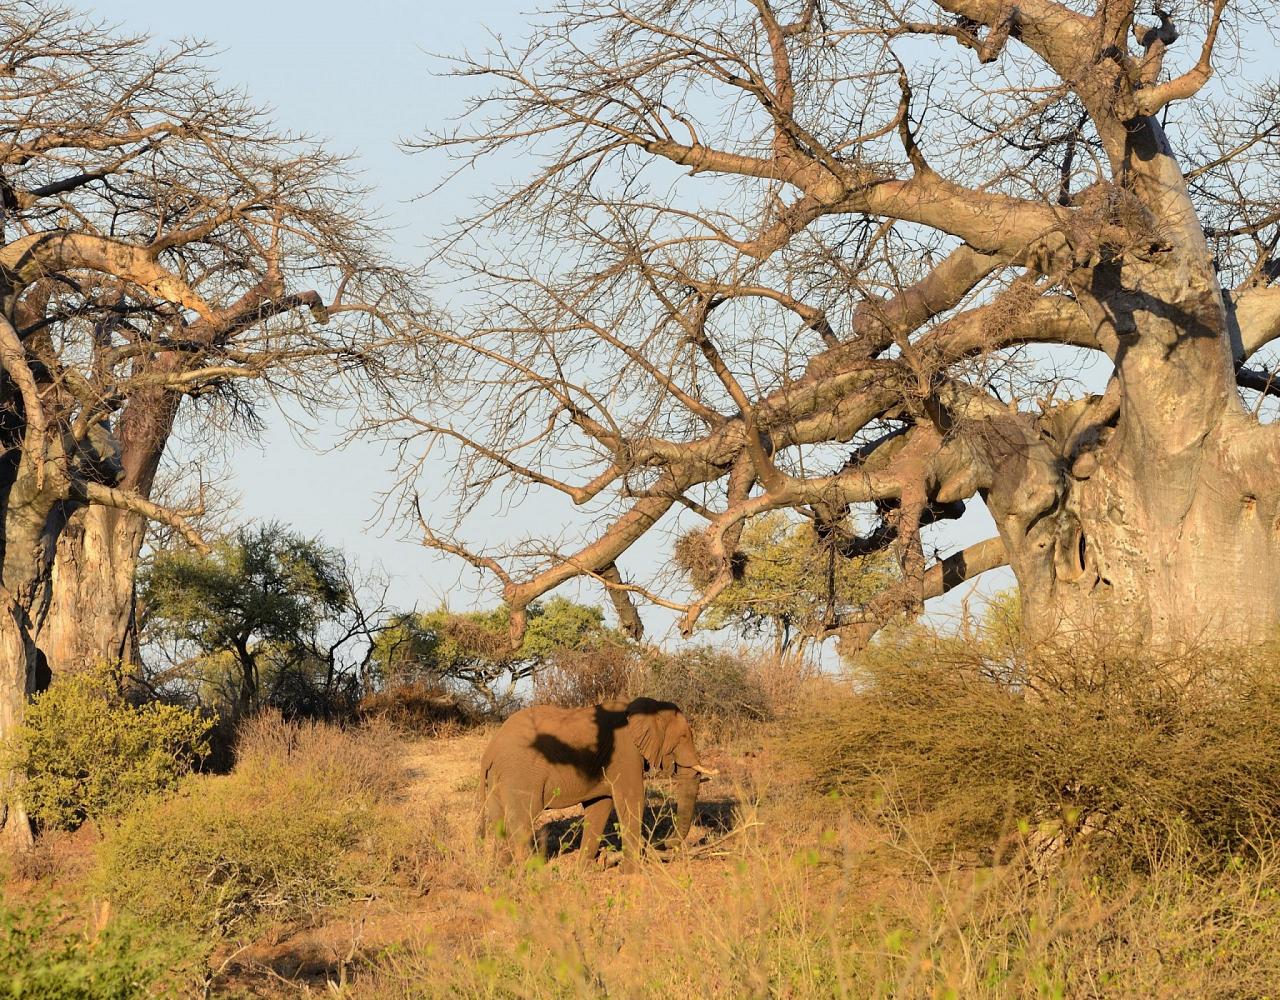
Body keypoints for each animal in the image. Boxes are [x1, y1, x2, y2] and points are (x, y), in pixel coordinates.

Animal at [481, 696, 721, 870]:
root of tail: (490, 751)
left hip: (498, 779)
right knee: (521, 821)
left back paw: (503, 872)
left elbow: (600, 805)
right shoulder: (625, 753)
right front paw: (631, 871)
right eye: (683, 737)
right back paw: (529, 871)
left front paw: (587, 869)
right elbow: (632, 798)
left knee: (500, 822)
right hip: (520, 774)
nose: (668, 844)